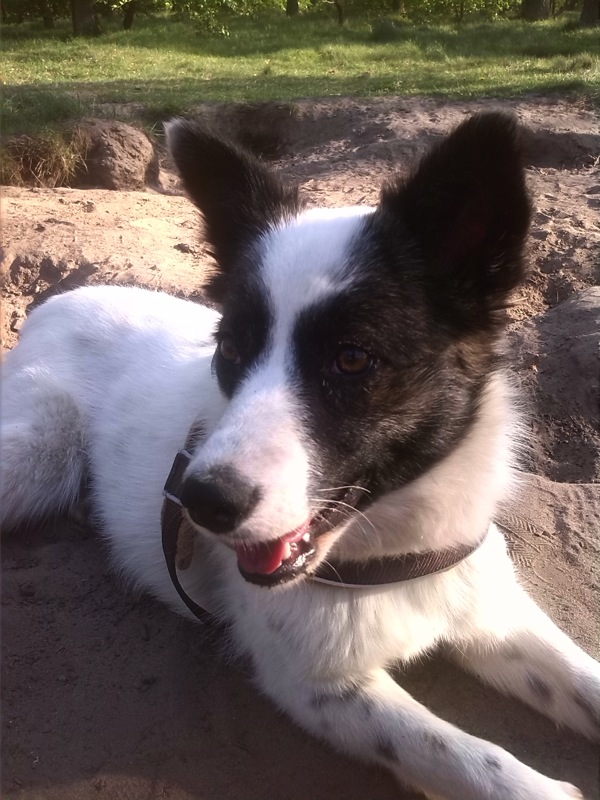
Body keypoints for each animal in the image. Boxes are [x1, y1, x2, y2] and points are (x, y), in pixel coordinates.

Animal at [1, 112, 598, 800]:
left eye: (352, 358)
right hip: (35, 454)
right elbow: (474, 760)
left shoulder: (495, 615)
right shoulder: (319, 689)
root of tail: (55, 301)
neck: (392, 551)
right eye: (231, 348)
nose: (198, 502)